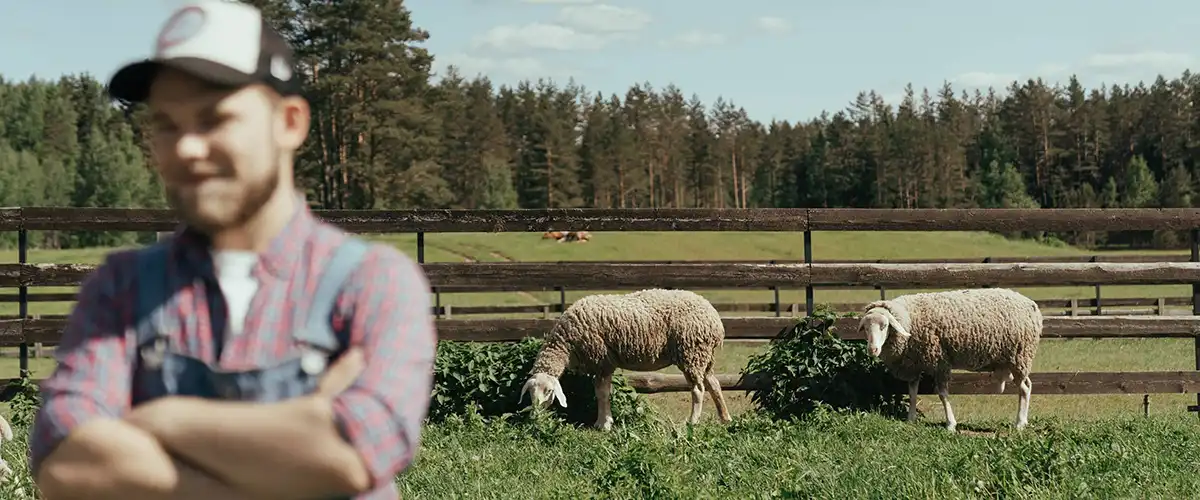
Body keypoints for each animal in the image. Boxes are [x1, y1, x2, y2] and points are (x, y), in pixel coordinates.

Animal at [518, 287, 729, 429]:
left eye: (548, 391)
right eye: (530, 392)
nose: (535, 415)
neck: (566, 343)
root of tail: (715, 319)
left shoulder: (602, 360)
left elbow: (602, 393)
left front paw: (603, 424)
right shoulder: (601, 363)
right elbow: (601, 392)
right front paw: (603, 421)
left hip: (691, 352)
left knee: (698, 390)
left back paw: (692, 422)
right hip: (704, 357)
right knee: (714, 384)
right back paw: (725, 418)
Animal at [864, 286, 1041, 431]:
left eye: (884, 326)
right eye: (865, 328)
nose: (873, 349)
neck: (910, 318)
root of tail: (1032, 305)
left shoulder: (940, 362)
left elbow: (943, 394)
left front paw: (950, 424)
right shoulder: (914, 364)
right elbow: (913, 393)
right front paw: (911, 419)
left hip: (1020, 356)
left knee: (1025, 388)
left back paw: (1020, 423)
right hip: (1012, 359)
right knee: (1026, 386)